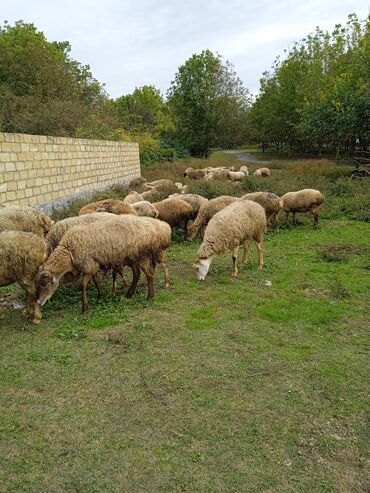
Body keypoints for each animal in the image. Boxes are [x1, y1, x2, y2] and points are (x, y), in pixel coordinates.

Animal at [36, 216, 172, 316]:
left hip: (140, 254)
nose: (38, 302)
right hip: (131, 257)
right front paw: (100, 295)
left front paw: (85, 308)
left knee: (149, 274)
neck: (69, 251)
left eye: (45, 284)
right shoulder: (93, 265)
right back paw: (129, 294)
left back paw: (150, 296)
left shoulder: (88, 264)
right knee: (137, 274)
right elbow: (96, 281)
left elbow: (83, 285)